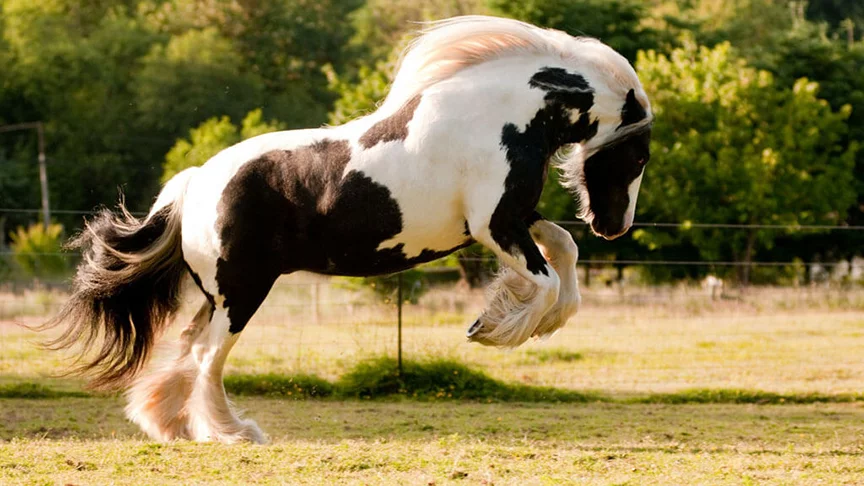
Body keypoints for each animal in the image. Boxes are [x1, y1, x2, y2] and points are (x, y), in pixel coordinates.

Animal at [42, 15, 653, 444]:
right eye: (640, 156)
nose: (613, 227)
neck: (498, 117)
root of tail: (194, 185)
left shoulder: (514, 220)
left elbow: (564, 254)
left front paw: (517, 321)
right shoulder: (494, 226)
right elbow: (546, 281)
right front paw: (494, 328)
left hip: (217, 296)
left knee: (190, 348)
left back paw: (169, 425)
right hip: (242, 293)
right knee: (208, 358)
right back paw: (233, 433)